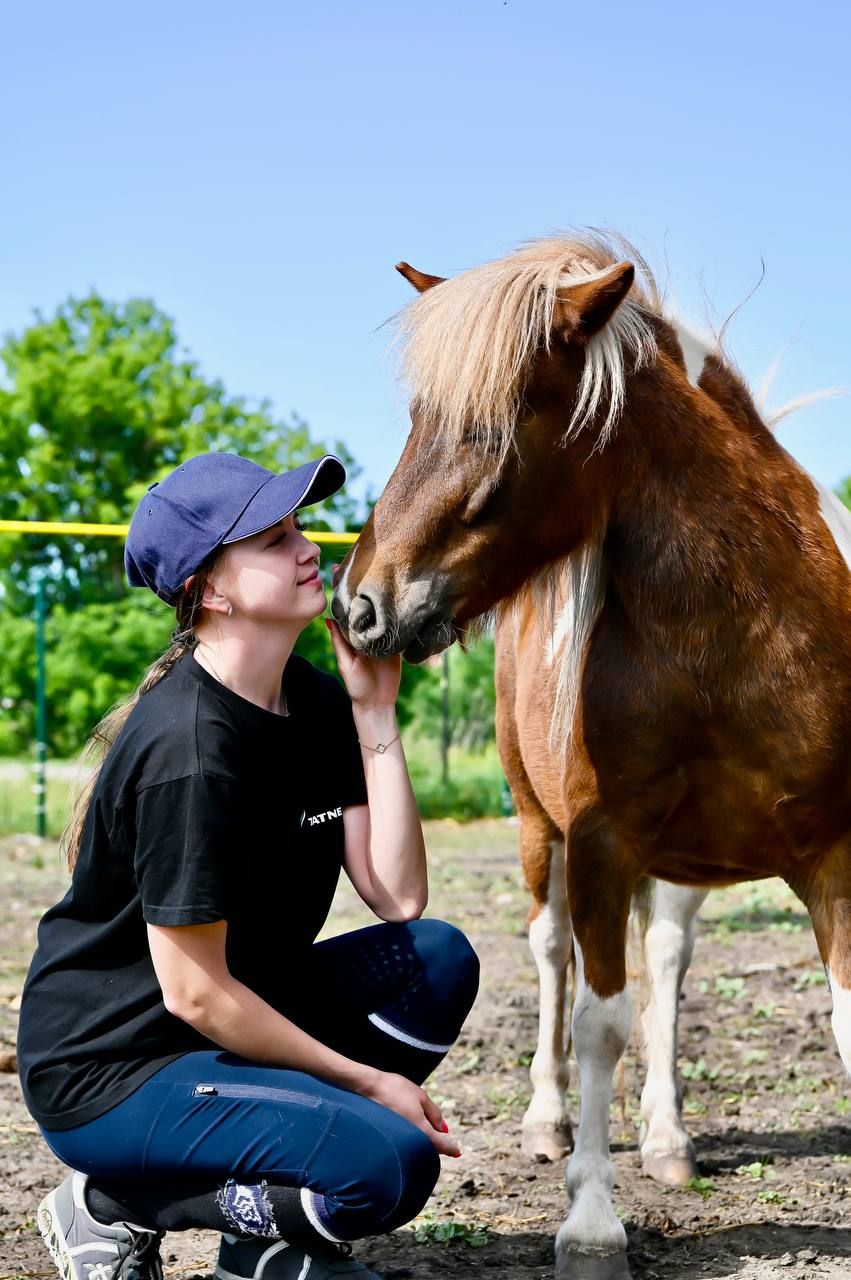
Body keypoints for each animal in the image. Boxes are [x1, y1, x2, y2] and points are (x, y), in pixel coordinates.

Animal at [332, 235, 849, 1274]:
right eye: (416, 419)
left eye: (495, 423)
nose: (359, 606)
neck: (741, 638)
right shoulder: (602, 845)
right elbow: (597, 1021)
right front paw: (591, 1227)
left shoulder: (834, 853)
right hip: (541, 833)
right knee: (551, 956)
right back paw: (546, 1123)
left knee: (668, 962)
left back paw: (667, 1139)